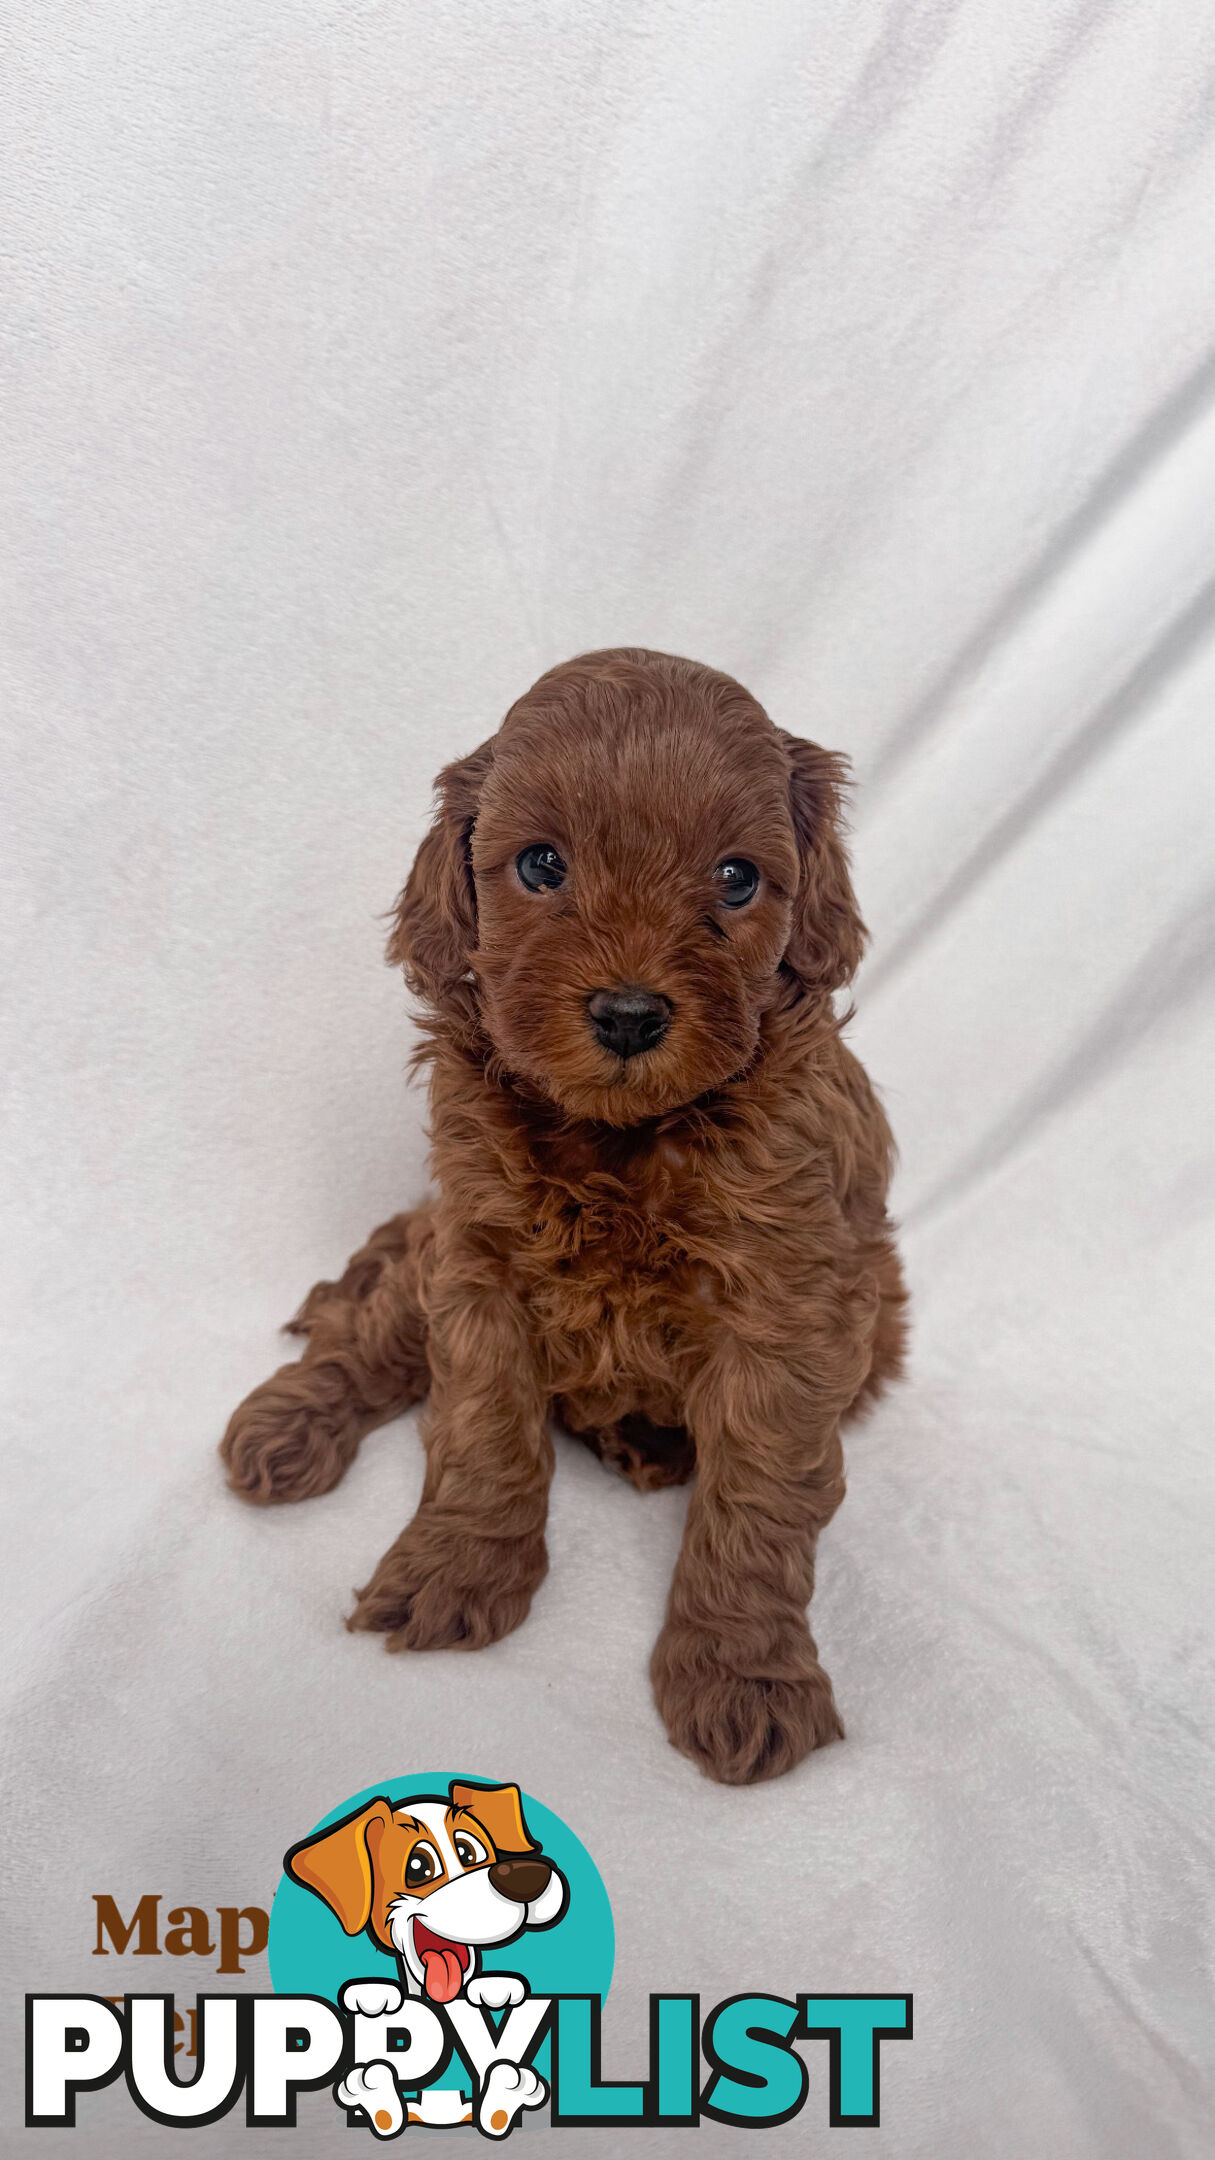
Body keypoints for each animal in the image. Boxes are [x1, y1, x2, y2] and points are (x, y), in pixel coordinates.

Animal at [217, 643, 903, 1788]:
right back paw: (286, 1427)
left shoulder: (789, 1312)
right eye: (540, 866)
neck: (620, 1142)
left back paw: (644, 1443)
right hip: (423, 1249)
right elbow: (484, 1430)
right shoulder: (476, 1261)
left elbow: (758, 1500)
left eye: (737, 878)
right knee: (370, 1336)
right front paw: (456, 1570)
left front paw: (744, 1675)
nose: (628, 1014)